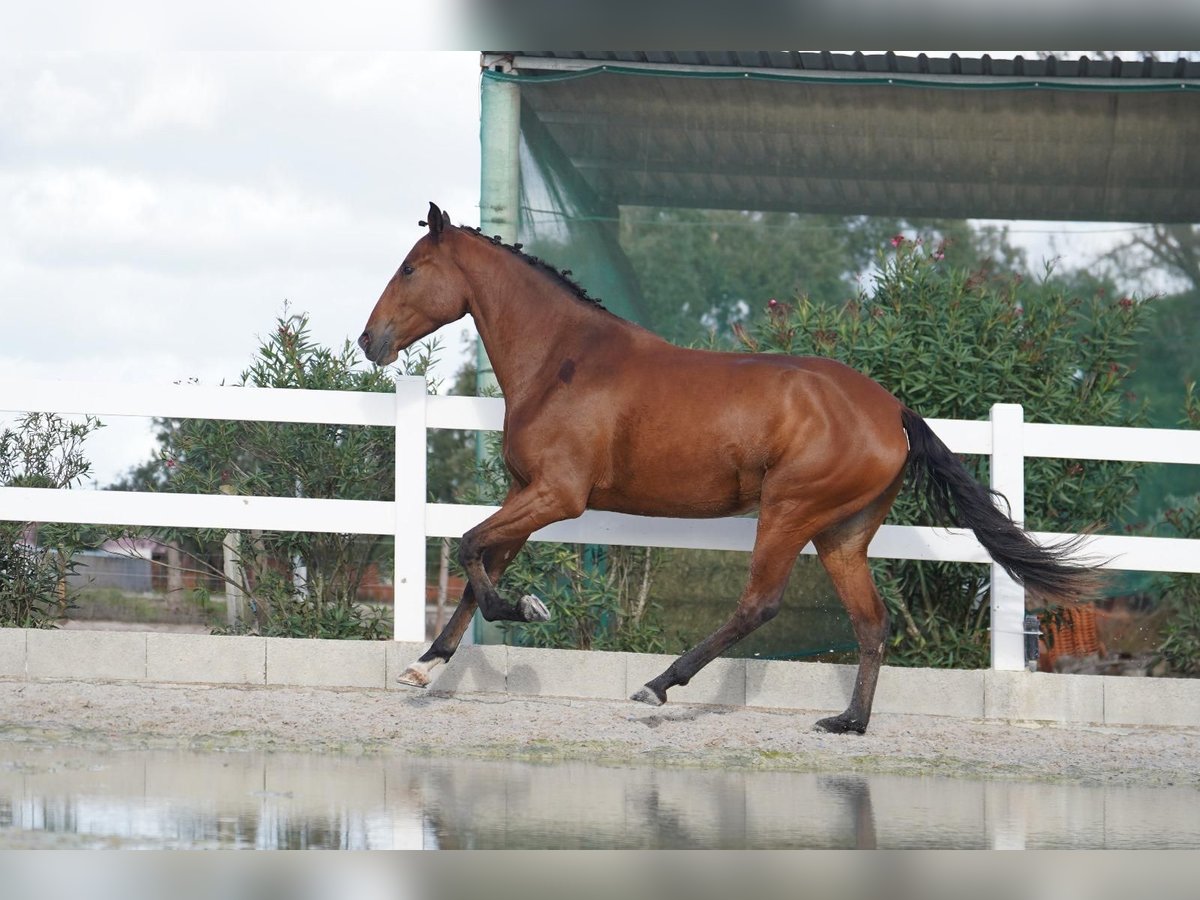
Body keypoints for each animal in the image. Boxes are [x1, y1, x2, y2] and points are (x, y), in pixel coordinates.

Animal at [355, 202, 1099, 734]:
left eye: (412, 268)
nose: (369, 340)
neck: (563, 360)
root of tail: (894, 411)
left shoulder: (558, 496)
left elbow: (469, 547)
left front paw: (524, 609)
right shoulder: (526, 492)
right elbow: (478, 566)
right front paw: (425, 668)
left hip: (790, 511)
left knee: (759, 604)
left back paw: (657, 686)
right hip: (842, 533)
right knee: (871, 621)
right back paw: (847, 722)